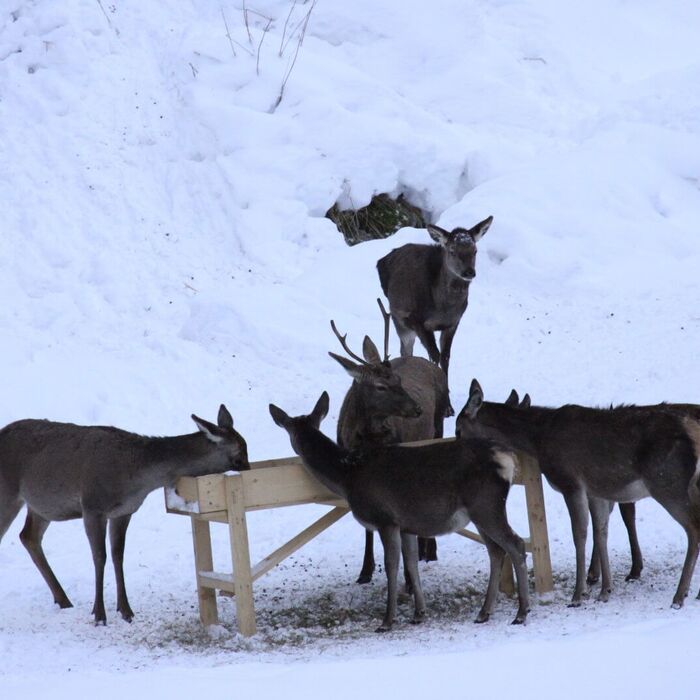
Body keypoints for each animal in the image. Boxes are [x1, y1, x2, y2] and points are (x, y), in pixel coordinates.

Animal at [0, 405, 249, 624]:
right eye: (239, 454)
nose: (248, 470)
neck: (135, 478)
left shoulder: (124, 511)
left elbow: (118, 555)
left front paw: (126, 610)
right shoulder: (92, 507)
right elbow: (99, 557)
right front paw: (99, 614)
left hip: (40, 506)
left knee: (28, 536)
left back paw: (63, 599)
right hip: (8, 494)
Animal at [269, 392, 530, 631]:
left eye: (290, 433)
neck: (347, 477)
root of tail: (506, 458)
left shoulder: (386, 519)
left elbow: (391, 565)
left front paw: (387, 621)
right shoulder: (407, 524)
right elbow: (412, 562)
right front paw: (419, 613)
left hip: (486, 505)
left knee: (516, 544)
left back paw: (521, 613)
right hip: (480, 513)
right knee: (496, 550)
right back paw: (484, 612)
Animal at [329, 299, 449, 583]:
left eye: (398, 379)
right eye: (380, 387)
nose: (417, 409)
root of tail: (432, 364)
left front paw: (405, 574)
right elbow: (367, 527)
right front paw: (365, 570)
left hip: (438, 425)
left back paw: (429, 550)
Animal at [376, 216, 493, 415]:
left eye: (475, 250)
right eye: (452, 250)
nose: (469, 272)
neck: (442, 308)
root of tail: (382, 260)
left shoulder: (453, 323)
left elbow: (445, 357)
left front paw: (449, 407)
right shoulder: (417, 320)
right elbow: (435, 356)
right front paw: (444, 404)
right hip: (400, 320)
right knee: (406, 350)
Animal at [456, 380, 700, 609]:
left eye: (458, 429)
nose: (457, 450)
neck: (539, 439)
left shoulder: (570, 482)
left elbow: (579, 533)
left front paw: (578, 595)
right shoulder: (595, 490)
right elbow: (601, 531)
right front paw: (605, 590)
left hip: (668, 483)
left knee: (693, 529)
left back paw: (679, 596)